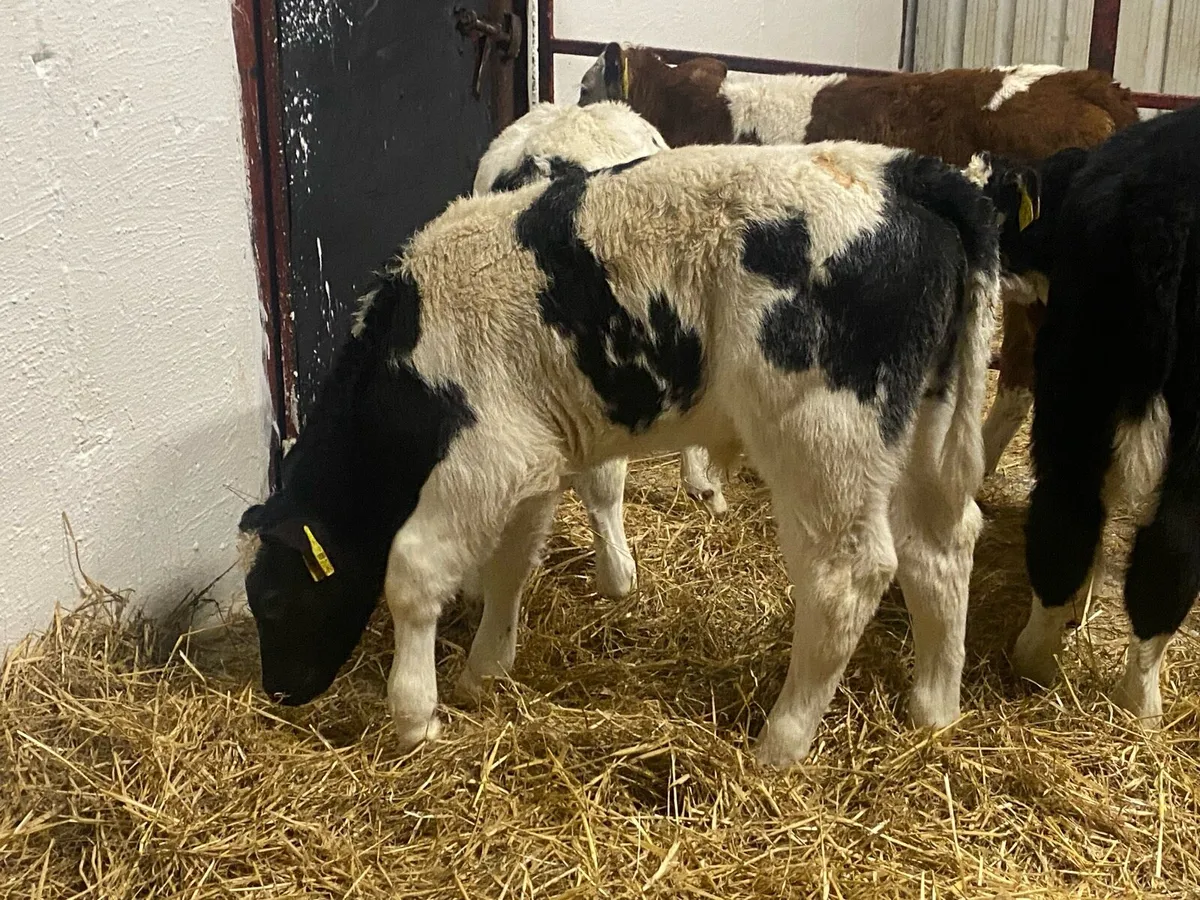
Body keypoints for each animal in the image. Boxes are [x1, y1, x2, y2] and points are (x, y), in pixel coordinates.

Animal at [238, 139, 1000, 768]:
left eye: (270, 599)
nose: (279, 692)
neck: (406, 354)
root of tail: (901, 173)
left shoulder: (486, 451)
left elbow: (414, 569)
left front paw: (415, 716)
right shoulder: (532, 459)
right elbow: (511, 564)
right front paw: (485, 670)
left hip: (823, 436)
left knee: (848, 576)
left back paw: (780, 744)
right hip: (921, 427)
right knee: (941, 546)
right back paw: (934, 710)